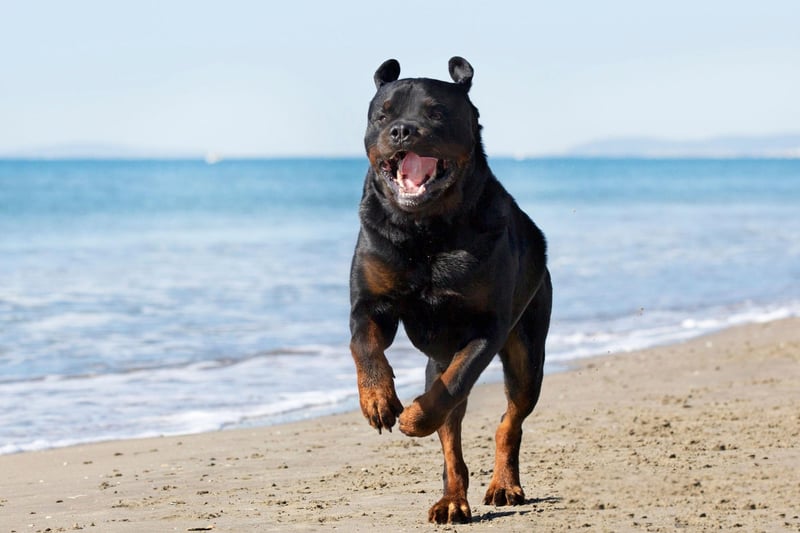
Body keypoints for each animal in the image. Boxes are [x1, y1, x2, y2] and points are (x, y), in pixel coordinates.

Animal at [350, 56, 552, 520]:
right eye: (382, 114)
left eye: (436, 112)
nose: (402, 131)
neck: (426, 231)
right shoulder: (371, 301)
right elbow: (364, 343)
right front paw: (378, 400)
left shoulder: (486, 327)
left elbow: (455, 385)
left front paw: (413, 418)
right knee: (451, 443)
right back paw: (451, 500)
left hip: (528, 352)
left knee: (508, 420)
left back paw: (504, 485)